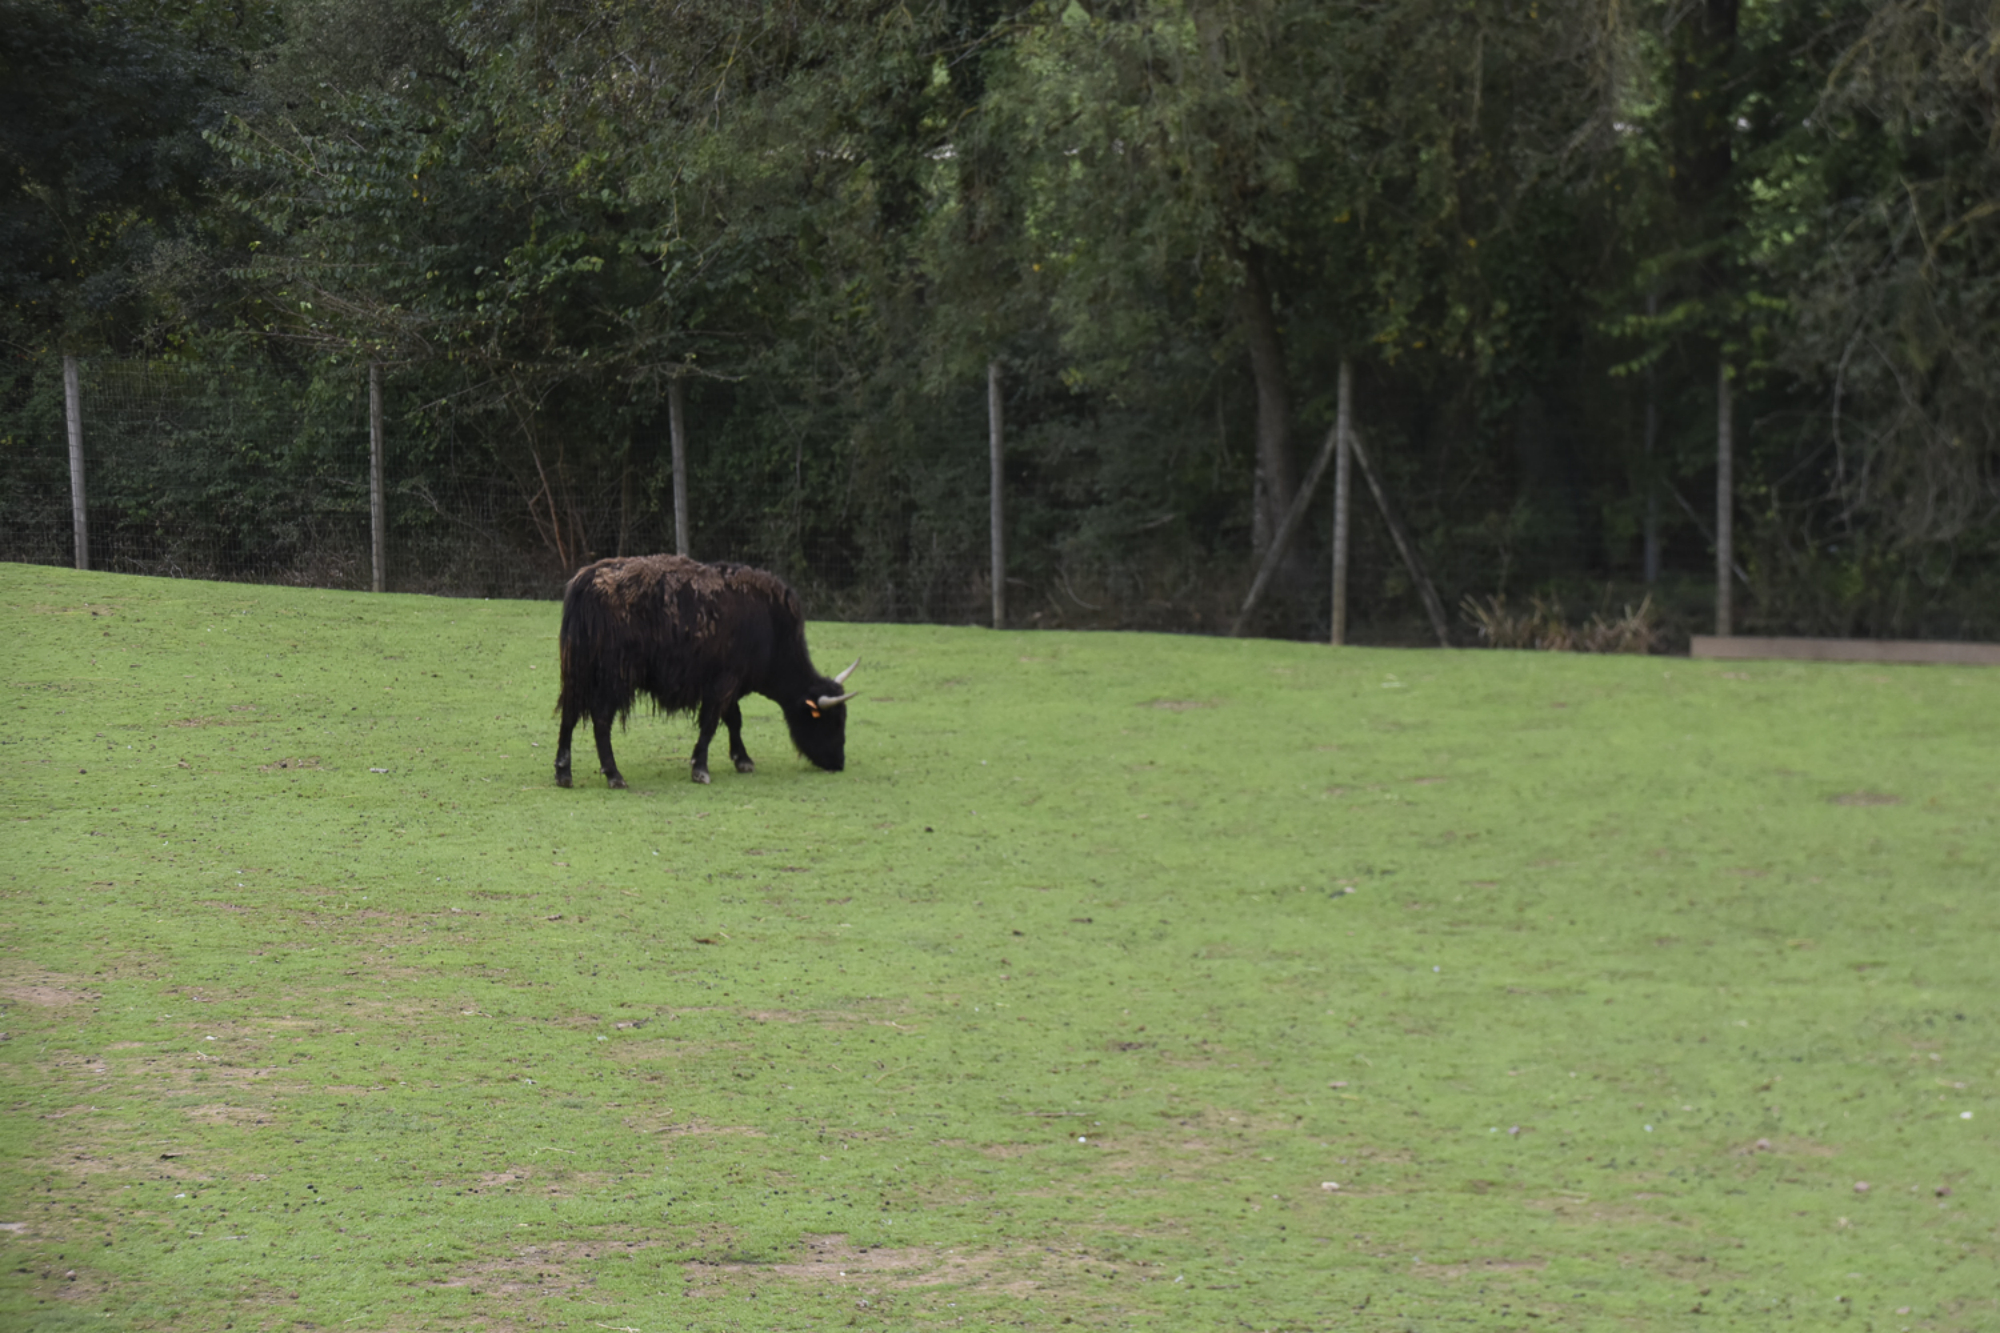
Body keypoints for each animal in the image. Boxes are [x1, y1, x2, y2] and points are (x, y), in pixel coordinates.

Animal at [554, 554, 857, 788]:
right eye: (831, 721)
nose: (839, 763)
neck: (771, 630)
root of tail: (586, 581)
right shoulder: (724, 682)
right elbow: (711, 723)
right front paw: (700, 768)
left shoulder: (729, 686)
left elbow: (734, 719)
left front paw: (742, 759)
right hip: (614, 678)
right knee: (601, 720)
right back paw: (614, 775)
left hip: (577, 673)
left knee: (569, 715)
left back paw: (563, 773)